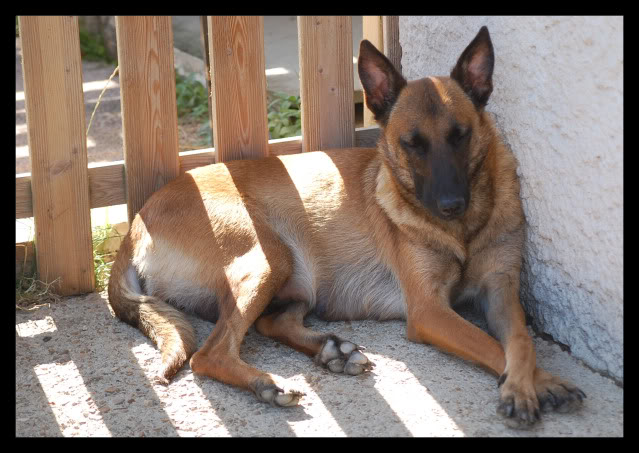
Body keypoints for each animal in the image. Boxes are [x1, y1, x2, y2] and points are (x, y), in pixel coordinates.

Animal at [109, 25, 584, 428]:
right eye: (412, 144)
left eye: (461, 135)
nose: (451, 205)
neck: (463, 231)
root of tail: (136, 223)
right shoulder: (430, 311)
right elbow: (491, 344)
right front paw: (535, 386)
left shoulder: (500, 289)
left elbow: (519, 339)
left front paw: (536, 380)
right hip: (269, 254)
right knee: (209, 354)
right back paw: (269, 383)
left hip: (296, 281)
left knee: (268, 324)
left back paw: (331, 350)